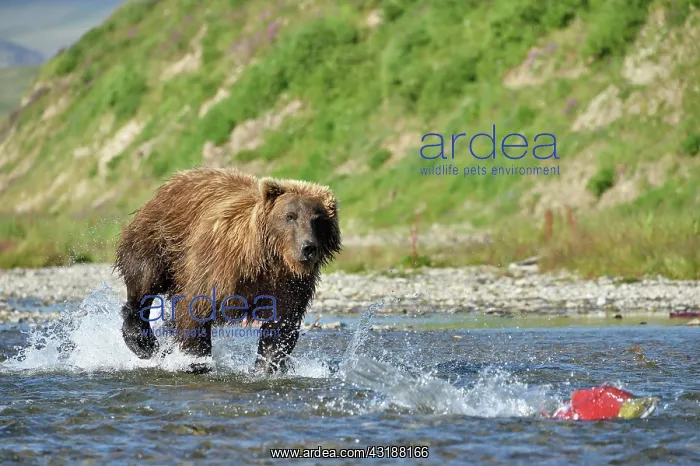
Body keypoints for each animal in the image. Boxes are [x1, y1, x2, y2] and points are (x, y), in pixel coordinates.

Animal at [114, 168, 342, 374]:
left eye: (318, 219)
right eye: (290, 216)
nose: (308, 247)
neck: (269, 261)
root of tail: (174, 179)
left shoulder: (290, 285)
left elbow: (280, 327)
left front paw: (266, 368)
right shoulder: (221, 268)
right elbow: (195, 309)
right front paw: (197, 362)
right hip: (160, 239)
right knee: (143, 282)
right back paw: (143, 342)